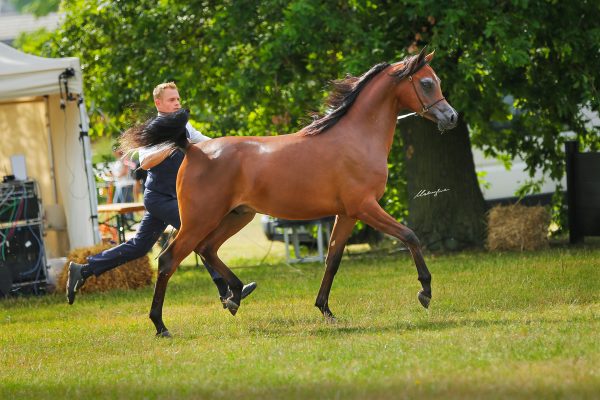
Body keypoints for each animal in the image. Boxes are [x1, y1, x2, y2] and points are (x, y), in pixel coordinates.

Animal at [125, 49, 454, 338]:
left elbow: (332, 259)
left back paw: (235, 296)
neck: (356, 138)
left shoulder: (347, 214)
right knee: (169, 260)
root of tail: (192, 149)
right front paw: (425, 291)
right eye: (426, 82)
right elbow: (410, 235)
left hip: (237, 216)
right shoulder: (365, 207)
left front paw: (325, 310)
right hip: (199, 220)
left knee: (207, 249)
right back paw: (161, 326)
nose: (451, 117)